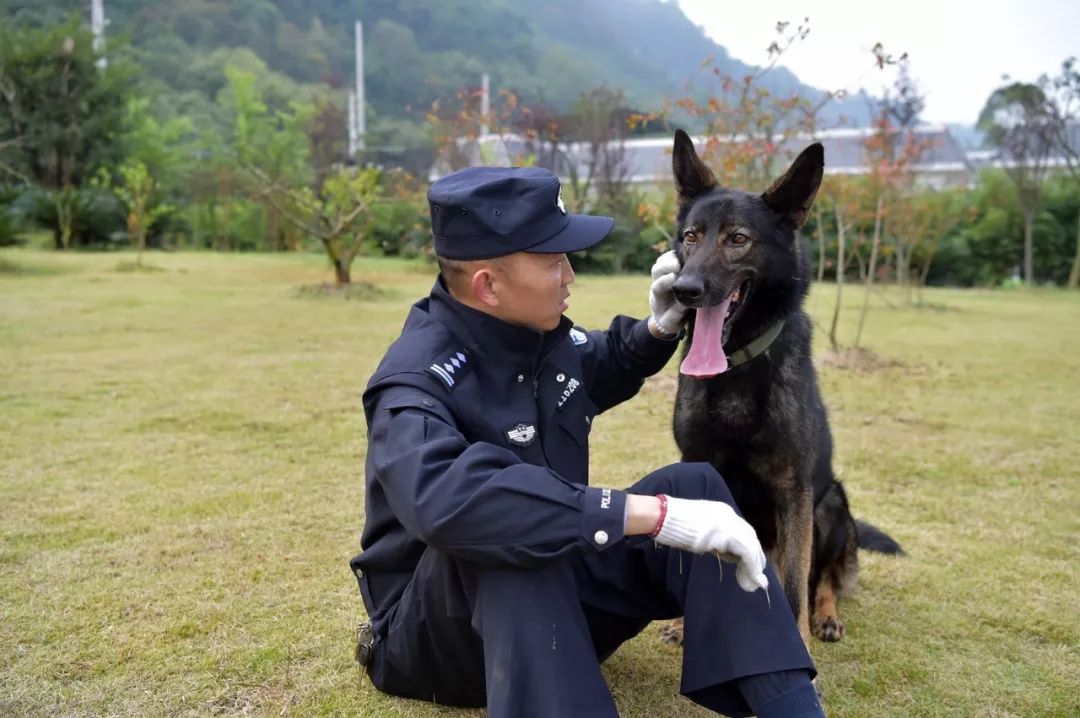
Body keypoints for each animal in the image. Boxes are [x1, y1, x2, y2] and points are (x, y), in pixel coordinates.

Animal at [656, 131, 902, 647]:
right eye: (691, 236)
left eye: (738, 239)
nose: (685, 290)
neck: (736, 366)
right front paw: (687, 623)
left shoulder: (794, 491)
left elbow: (794, 585)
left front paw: (801, 643)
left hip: (830, 505)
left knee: (823, 578)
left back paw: (826, 616)